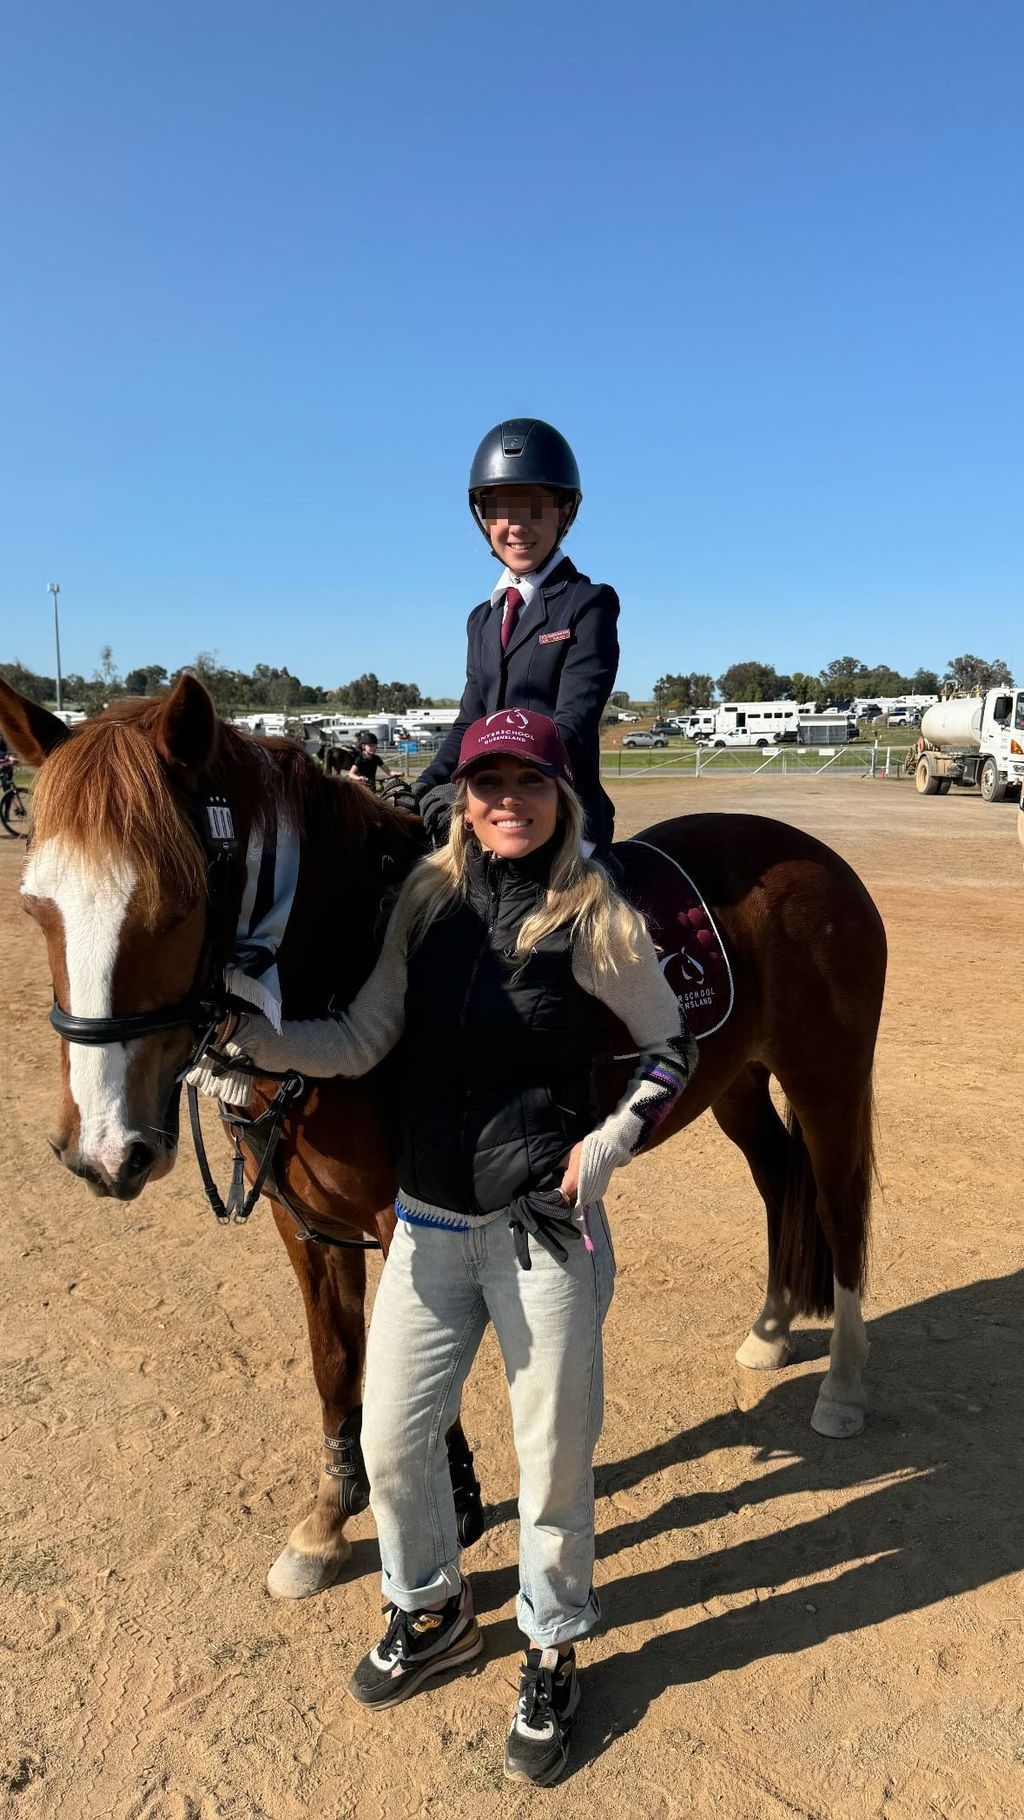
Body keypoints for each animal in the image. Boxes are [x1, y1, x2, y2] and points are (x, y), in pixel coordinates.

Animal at [0, 684, 891, 1608]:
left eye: (173, 903)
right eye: (35, 906)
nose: (104, 1151)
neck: (342, 958)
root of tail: (812, 855)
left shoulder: (408, 1220)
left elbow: (424, 1386)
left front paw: (449, 1515)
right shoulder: (306, 1225)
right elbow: (337, 1365)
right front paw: (327, 1525)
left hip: (826, 1080)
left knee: (839, 1208)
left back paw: (841, 1387)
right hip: (736, 1084)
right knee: (778, 1177)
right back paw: (772, 1329)